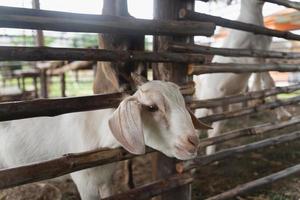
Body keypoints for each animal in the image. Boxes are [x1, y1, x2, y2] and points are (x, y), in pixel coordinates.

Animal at [195, 0, 290, 155]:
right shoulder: (238, 53)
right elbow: (255, 66)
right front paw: (256, 96)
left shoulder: (264, 53)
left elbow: (269, 81)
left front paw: (284, 115)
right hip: (204, 106)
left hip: (222, 111)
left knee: (212, 133)